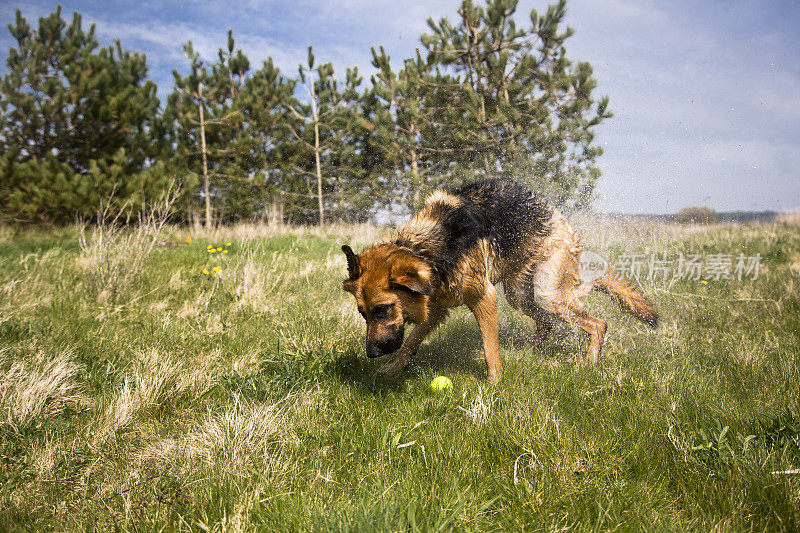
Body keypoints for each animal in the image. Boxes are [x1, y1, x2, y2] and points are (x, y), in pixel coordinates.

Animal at [340, 180, 660, 382]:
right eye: (362, 313)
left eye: (383, 309)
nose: (371, 354)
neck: (426, 249)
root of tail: (560, 219)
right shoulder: (437, 307)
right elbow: (410, 344)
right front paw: (391, 370)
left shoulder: (484, 296)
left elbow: (490, 348)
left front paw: (495, 385)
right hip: (520, 294)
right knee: (546, 323)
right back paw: (530, 351)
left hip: (546, 292)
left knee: (597, 323)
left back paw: (589, 362)